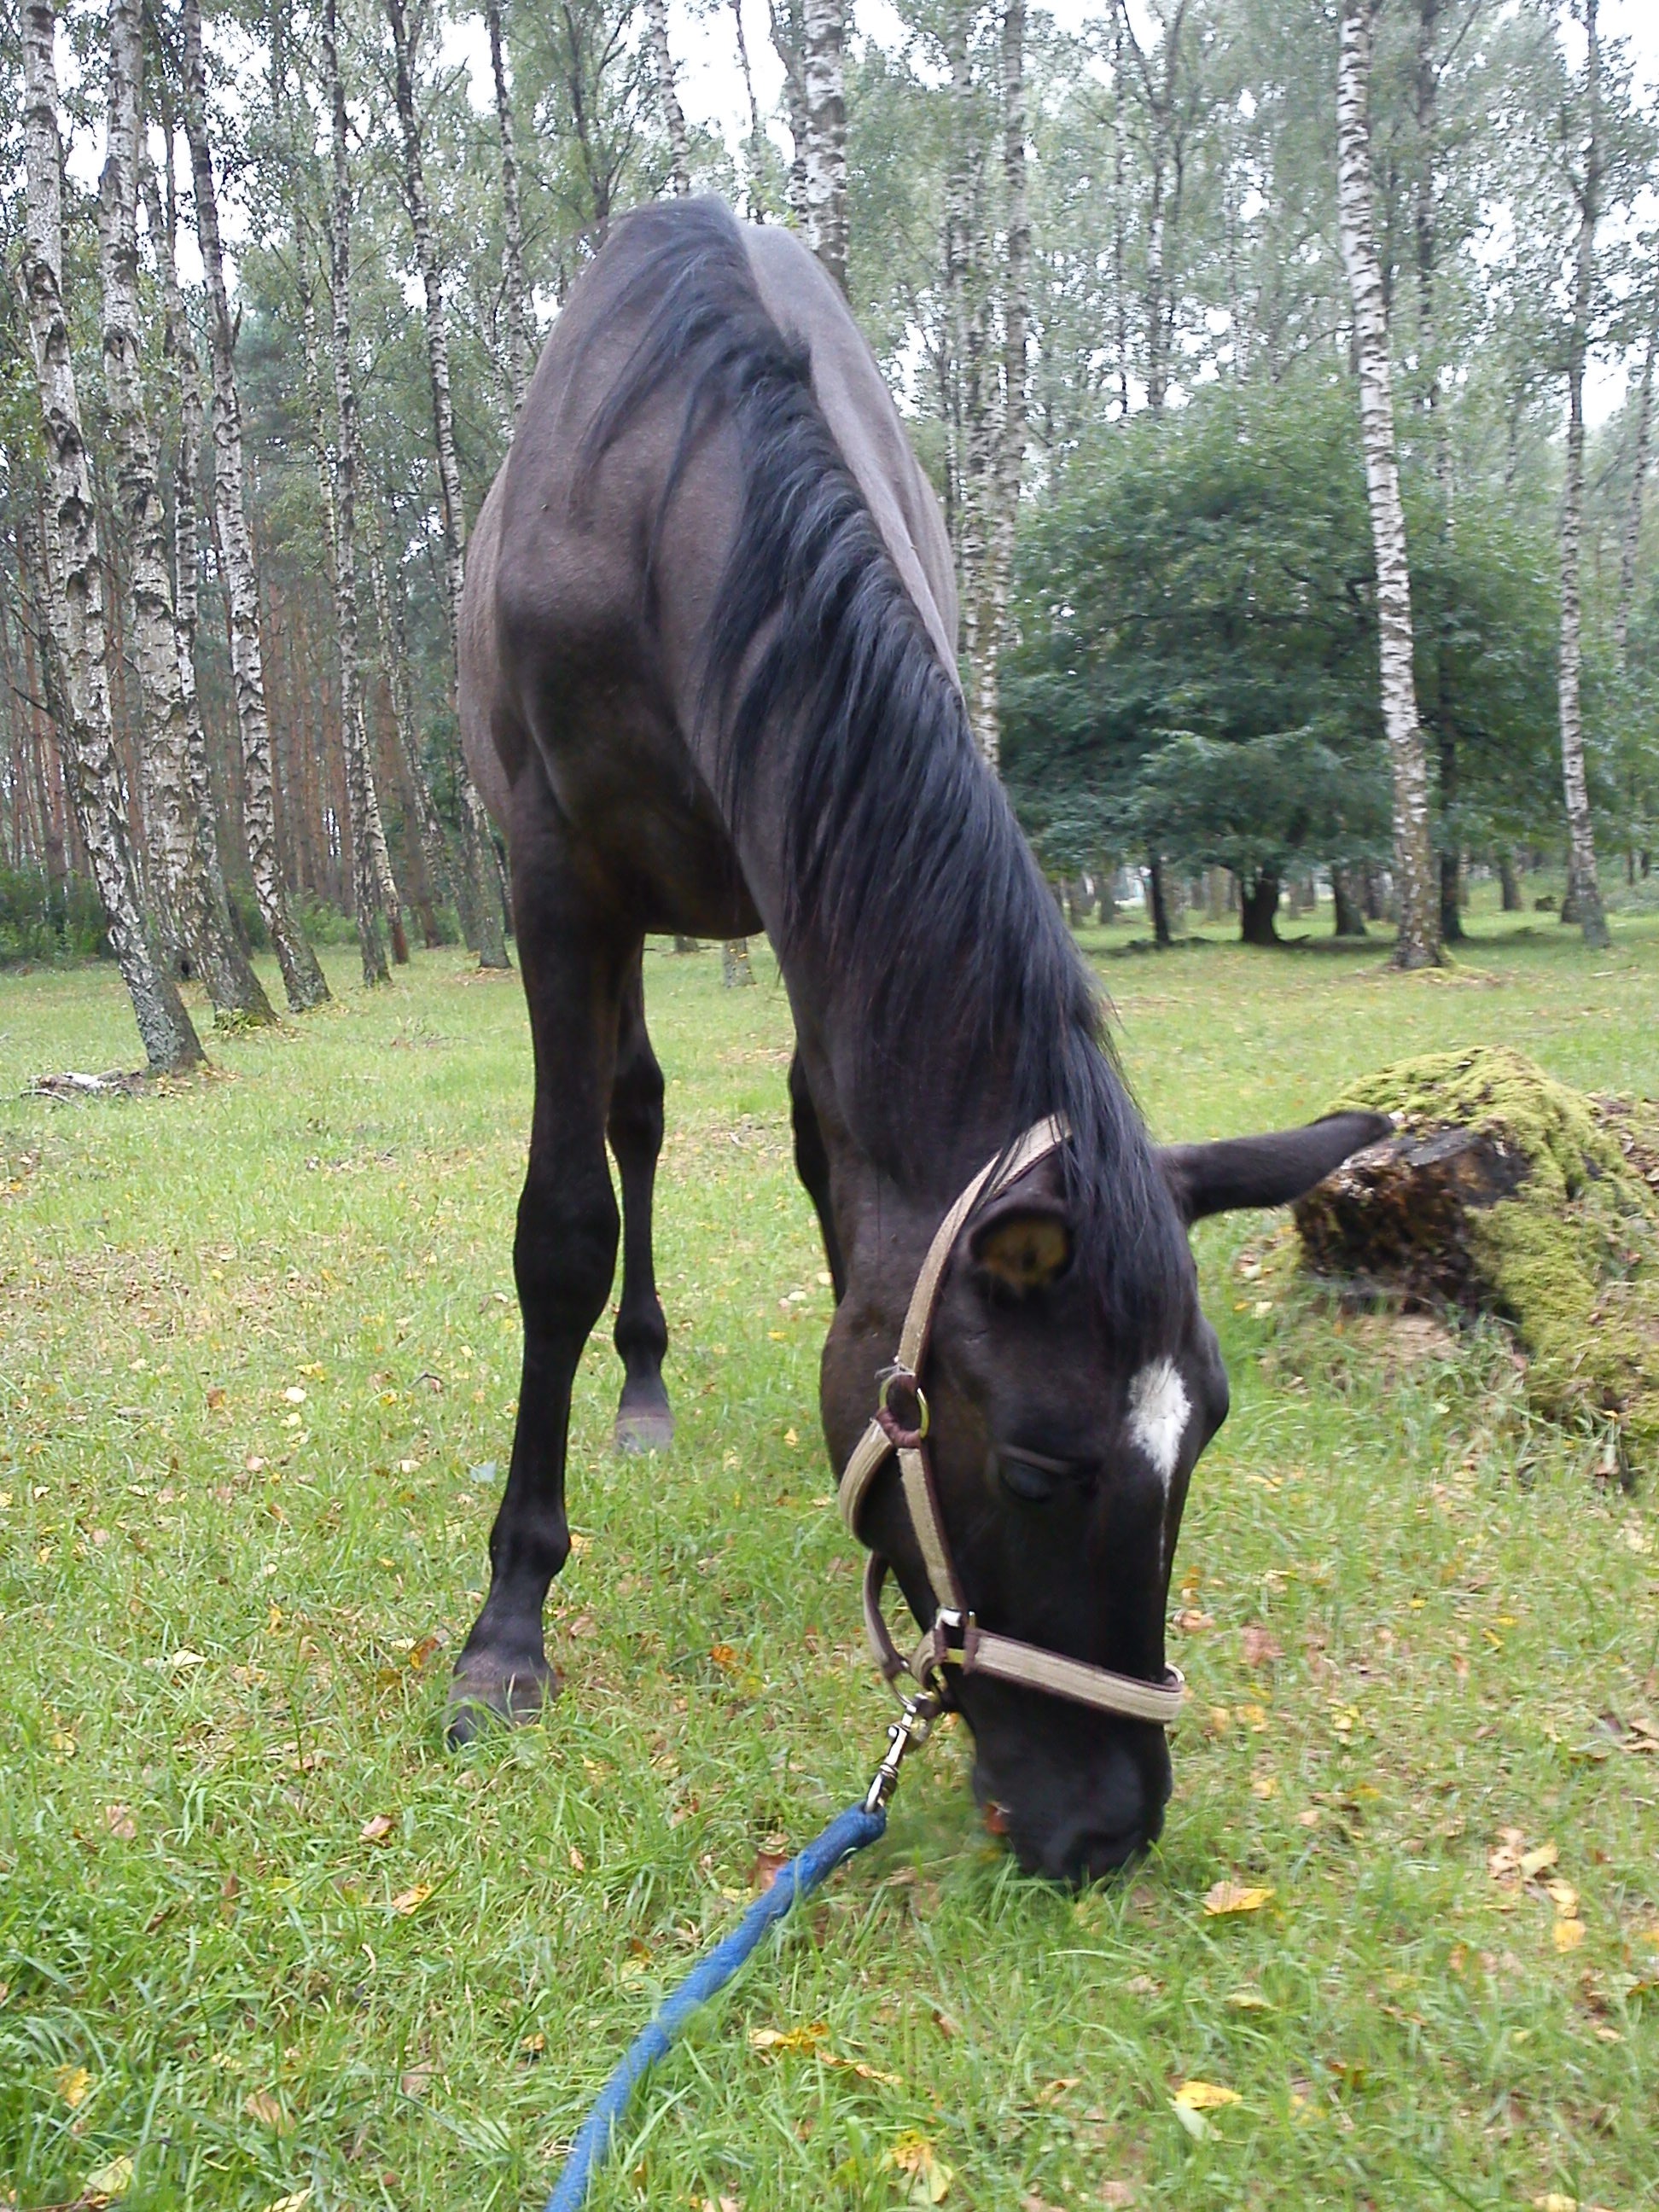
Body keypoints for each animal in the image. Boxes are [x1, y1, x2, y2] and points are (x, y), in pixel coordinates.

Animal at [453, 197, 1388, 1884]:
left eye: (1204, 1441)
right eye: (1036, 1465)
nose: (1108, 1828)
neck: (673, 488)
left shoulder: (815, 872)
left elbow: (842, 1187)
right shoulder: (556, 887)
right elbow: (560, 1231)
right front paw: (507, 1627)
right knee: (632, 1117)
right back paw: (637, 1389)